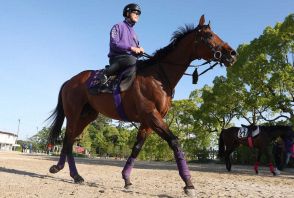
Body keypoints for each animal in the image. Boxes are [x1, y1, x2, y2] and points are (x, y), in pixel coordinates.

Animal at [47, 14, 237, 196]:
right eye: (209, 35)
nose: (233, 53)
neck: (158, 77)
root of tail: (70, 81)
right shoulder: (152, 115)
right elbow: (174, 142)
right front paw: (188, 183)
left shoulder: (147, 122)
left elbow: (136, 148)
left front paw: (126, 179)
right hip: (73, 114)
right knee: (69, 139)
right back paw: (70, 173)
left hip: (87, 116)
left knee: (70, 139)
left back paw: (64, 170)